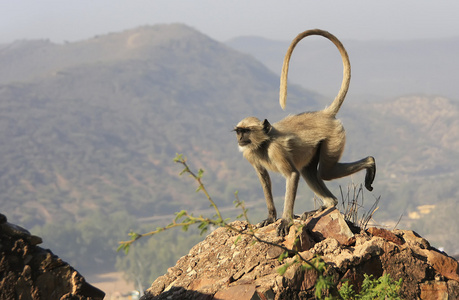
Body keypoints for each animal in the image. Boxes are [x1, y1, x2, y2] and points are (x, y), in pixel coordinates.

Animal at [235, 29, 376, 237]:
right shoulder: (249, 153)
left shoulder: (275, 149)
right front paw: (271, 217)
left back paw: (370, 163)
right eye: (239, 132)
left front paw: (285, 220)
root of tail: (325, 114)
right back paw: (328, 203)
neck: (264, 143)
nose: (240, 138)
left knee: (325, 172)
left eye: (246, 131)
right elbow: (264, 177)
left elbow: (292, 175)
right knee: (311, 172)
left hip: (334, 137)